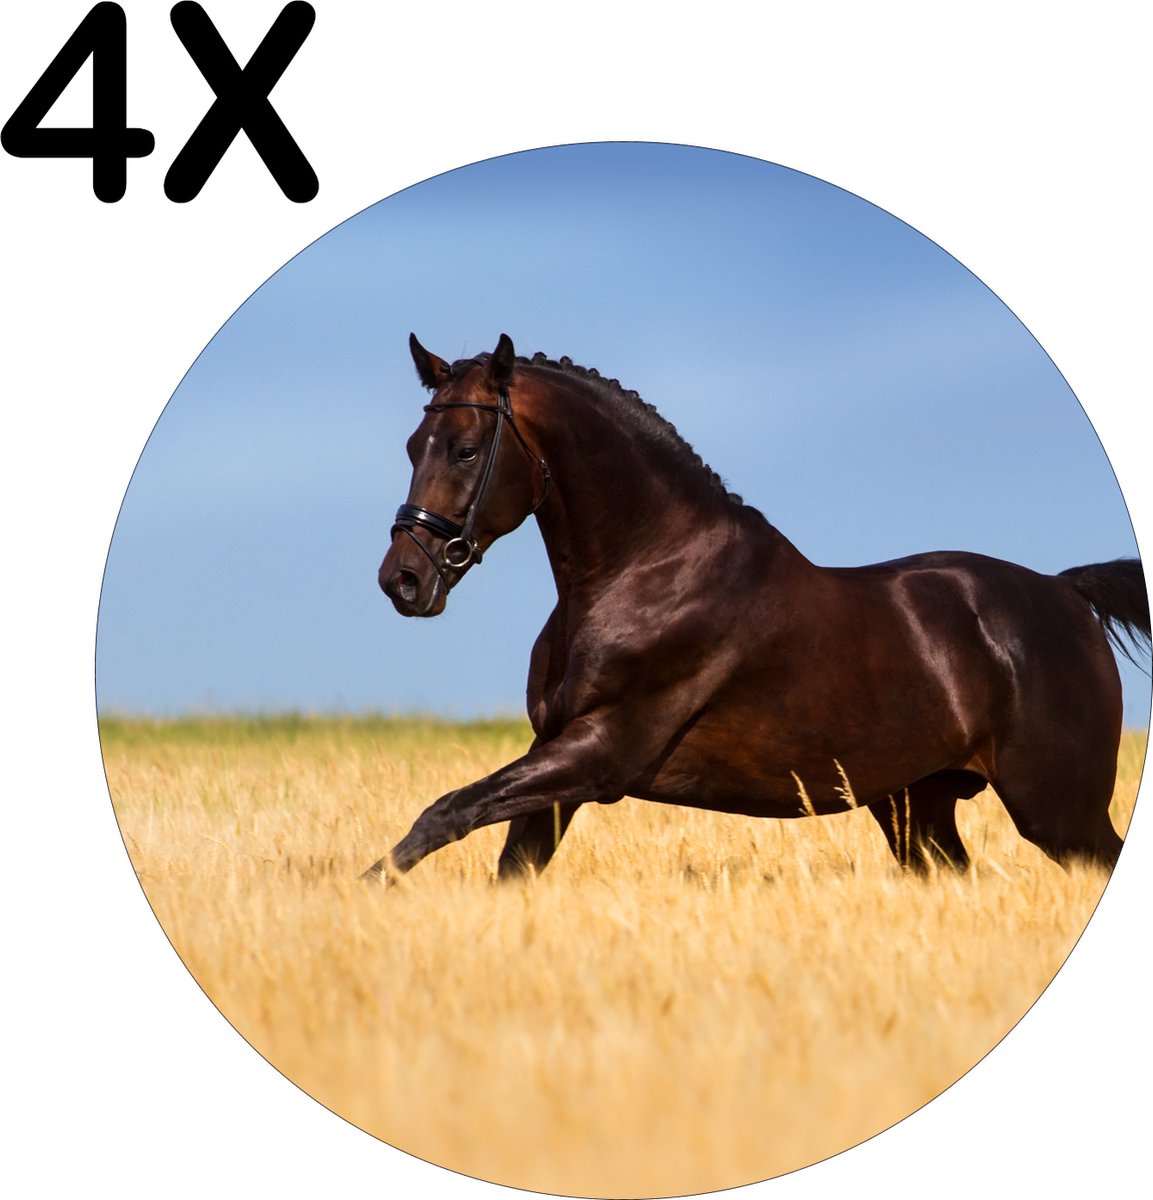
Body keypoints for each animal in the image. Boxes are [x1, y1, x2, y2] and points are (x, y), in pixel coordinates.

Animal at [366, 333, 1149, 883]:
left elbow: (441, 815)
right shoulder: (557, 766)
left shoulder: (598, 753)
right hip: (917, 804)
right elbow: (503, 863)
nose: (403, 579)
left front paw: (367, 891)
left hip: (1056, 806)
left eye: (466, 449)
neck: (643, 571)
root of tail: (1065, 591)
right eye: (411, 445)